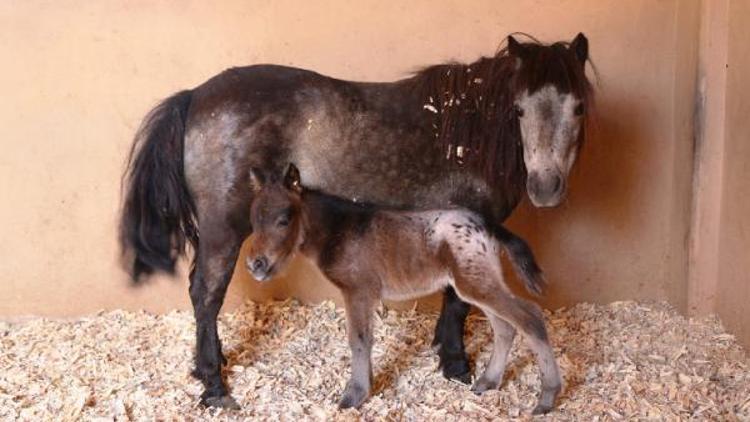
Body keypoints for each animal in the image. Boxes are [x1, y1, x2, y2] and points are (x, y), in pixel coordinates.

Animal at [248, 165, 564, 416]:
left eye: (285, 218)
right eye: (253, 221)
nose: (255, 265)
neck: (339, 231)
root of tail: (486, 224)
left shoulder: (358, 291)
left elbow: (358, 340)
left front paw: (354, 395)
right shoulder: (363, 295)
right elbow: (365, 339)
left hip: (476, 284)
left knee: (530, 318)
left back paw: (546, 397)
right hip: (476, 284)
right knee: (505, 327)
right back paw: (487, 382)